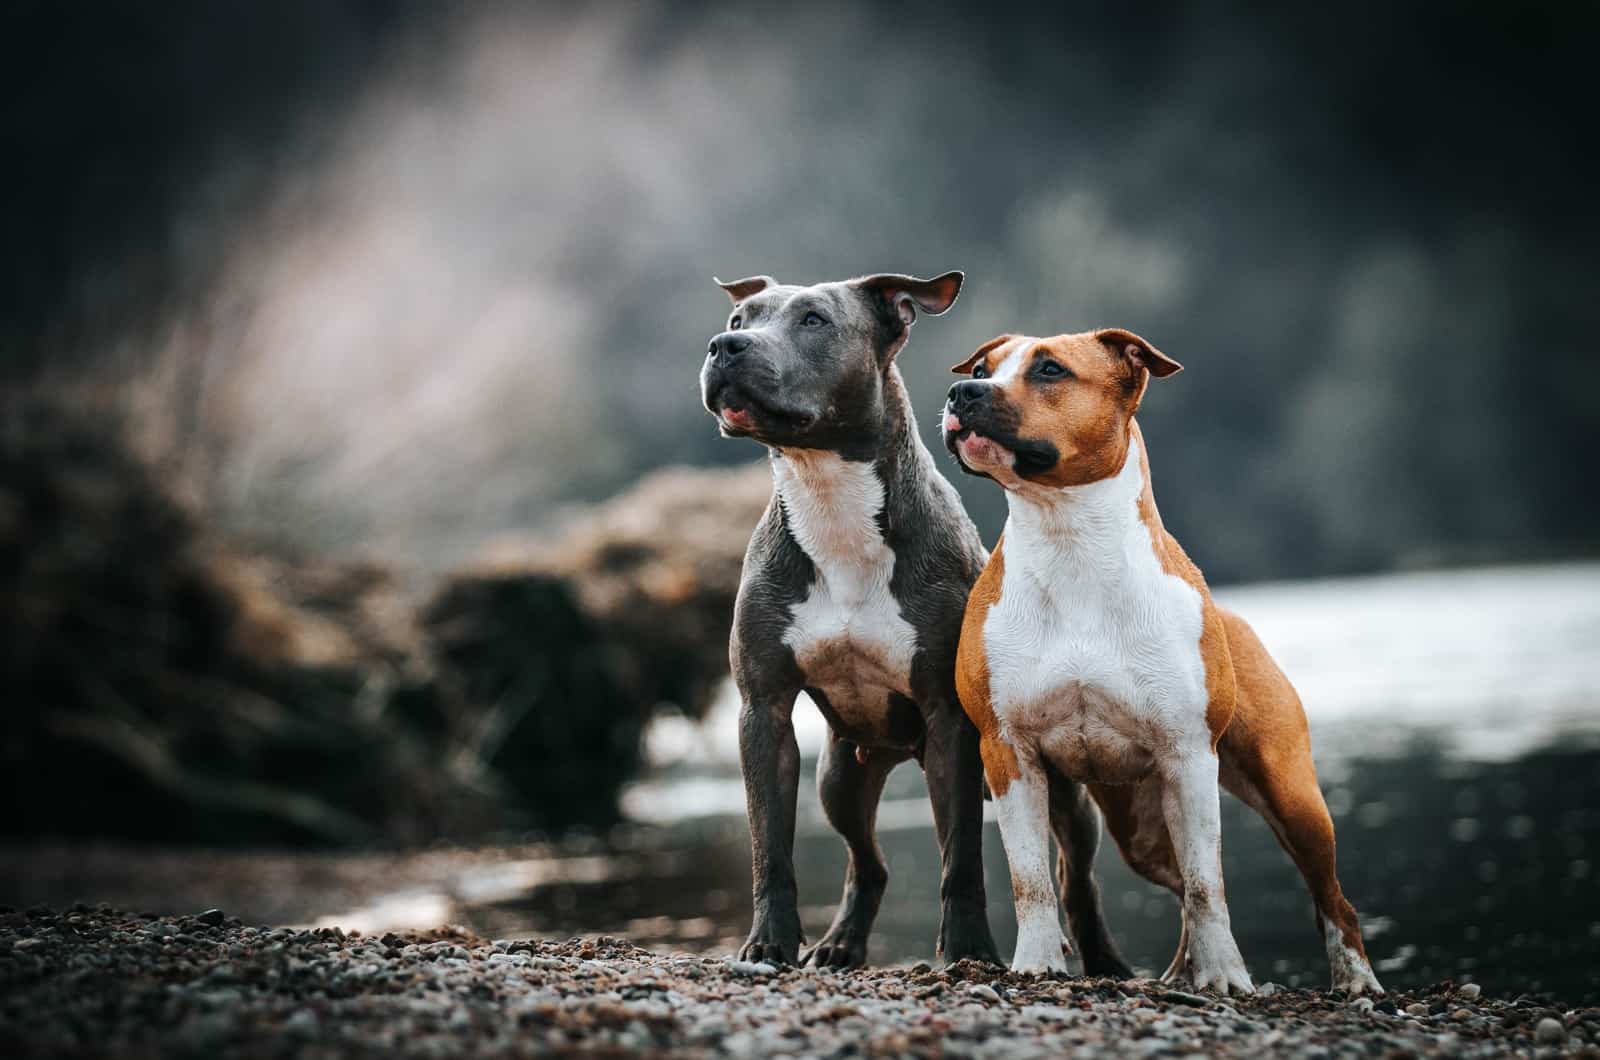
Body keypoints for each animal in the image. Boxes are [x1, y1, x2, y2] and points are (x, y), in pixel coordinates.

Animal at [700, 270, 998, 967]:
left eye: (814, 320)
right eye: (738, 320)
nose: (725, 348)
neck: (829, 499)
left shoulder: (949, 721)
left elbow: (961, 859)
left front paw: (968, 951)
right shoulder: (764, 712)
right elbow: (769, 847)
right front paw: (768, 941)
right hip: (841, 777)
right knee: (871, 863)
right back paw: (840, 943)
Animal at [940, 329, 1382, 999]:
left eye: (1050, 370)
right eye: (985, 368)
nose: (962, 392)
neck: (1069, 543)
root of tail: (1232, 616)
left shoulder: (1188, 756)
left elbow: (1209, 885)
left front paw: (1226, 976)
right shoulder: (1008, 751)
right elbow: (1030, 880)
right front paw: (1037, 963)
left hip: (1292, 796)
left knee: (1330, 896)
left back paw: (1355, 980)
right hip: (1139, 829)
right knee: (1173, 887)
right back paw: (1177, 974)